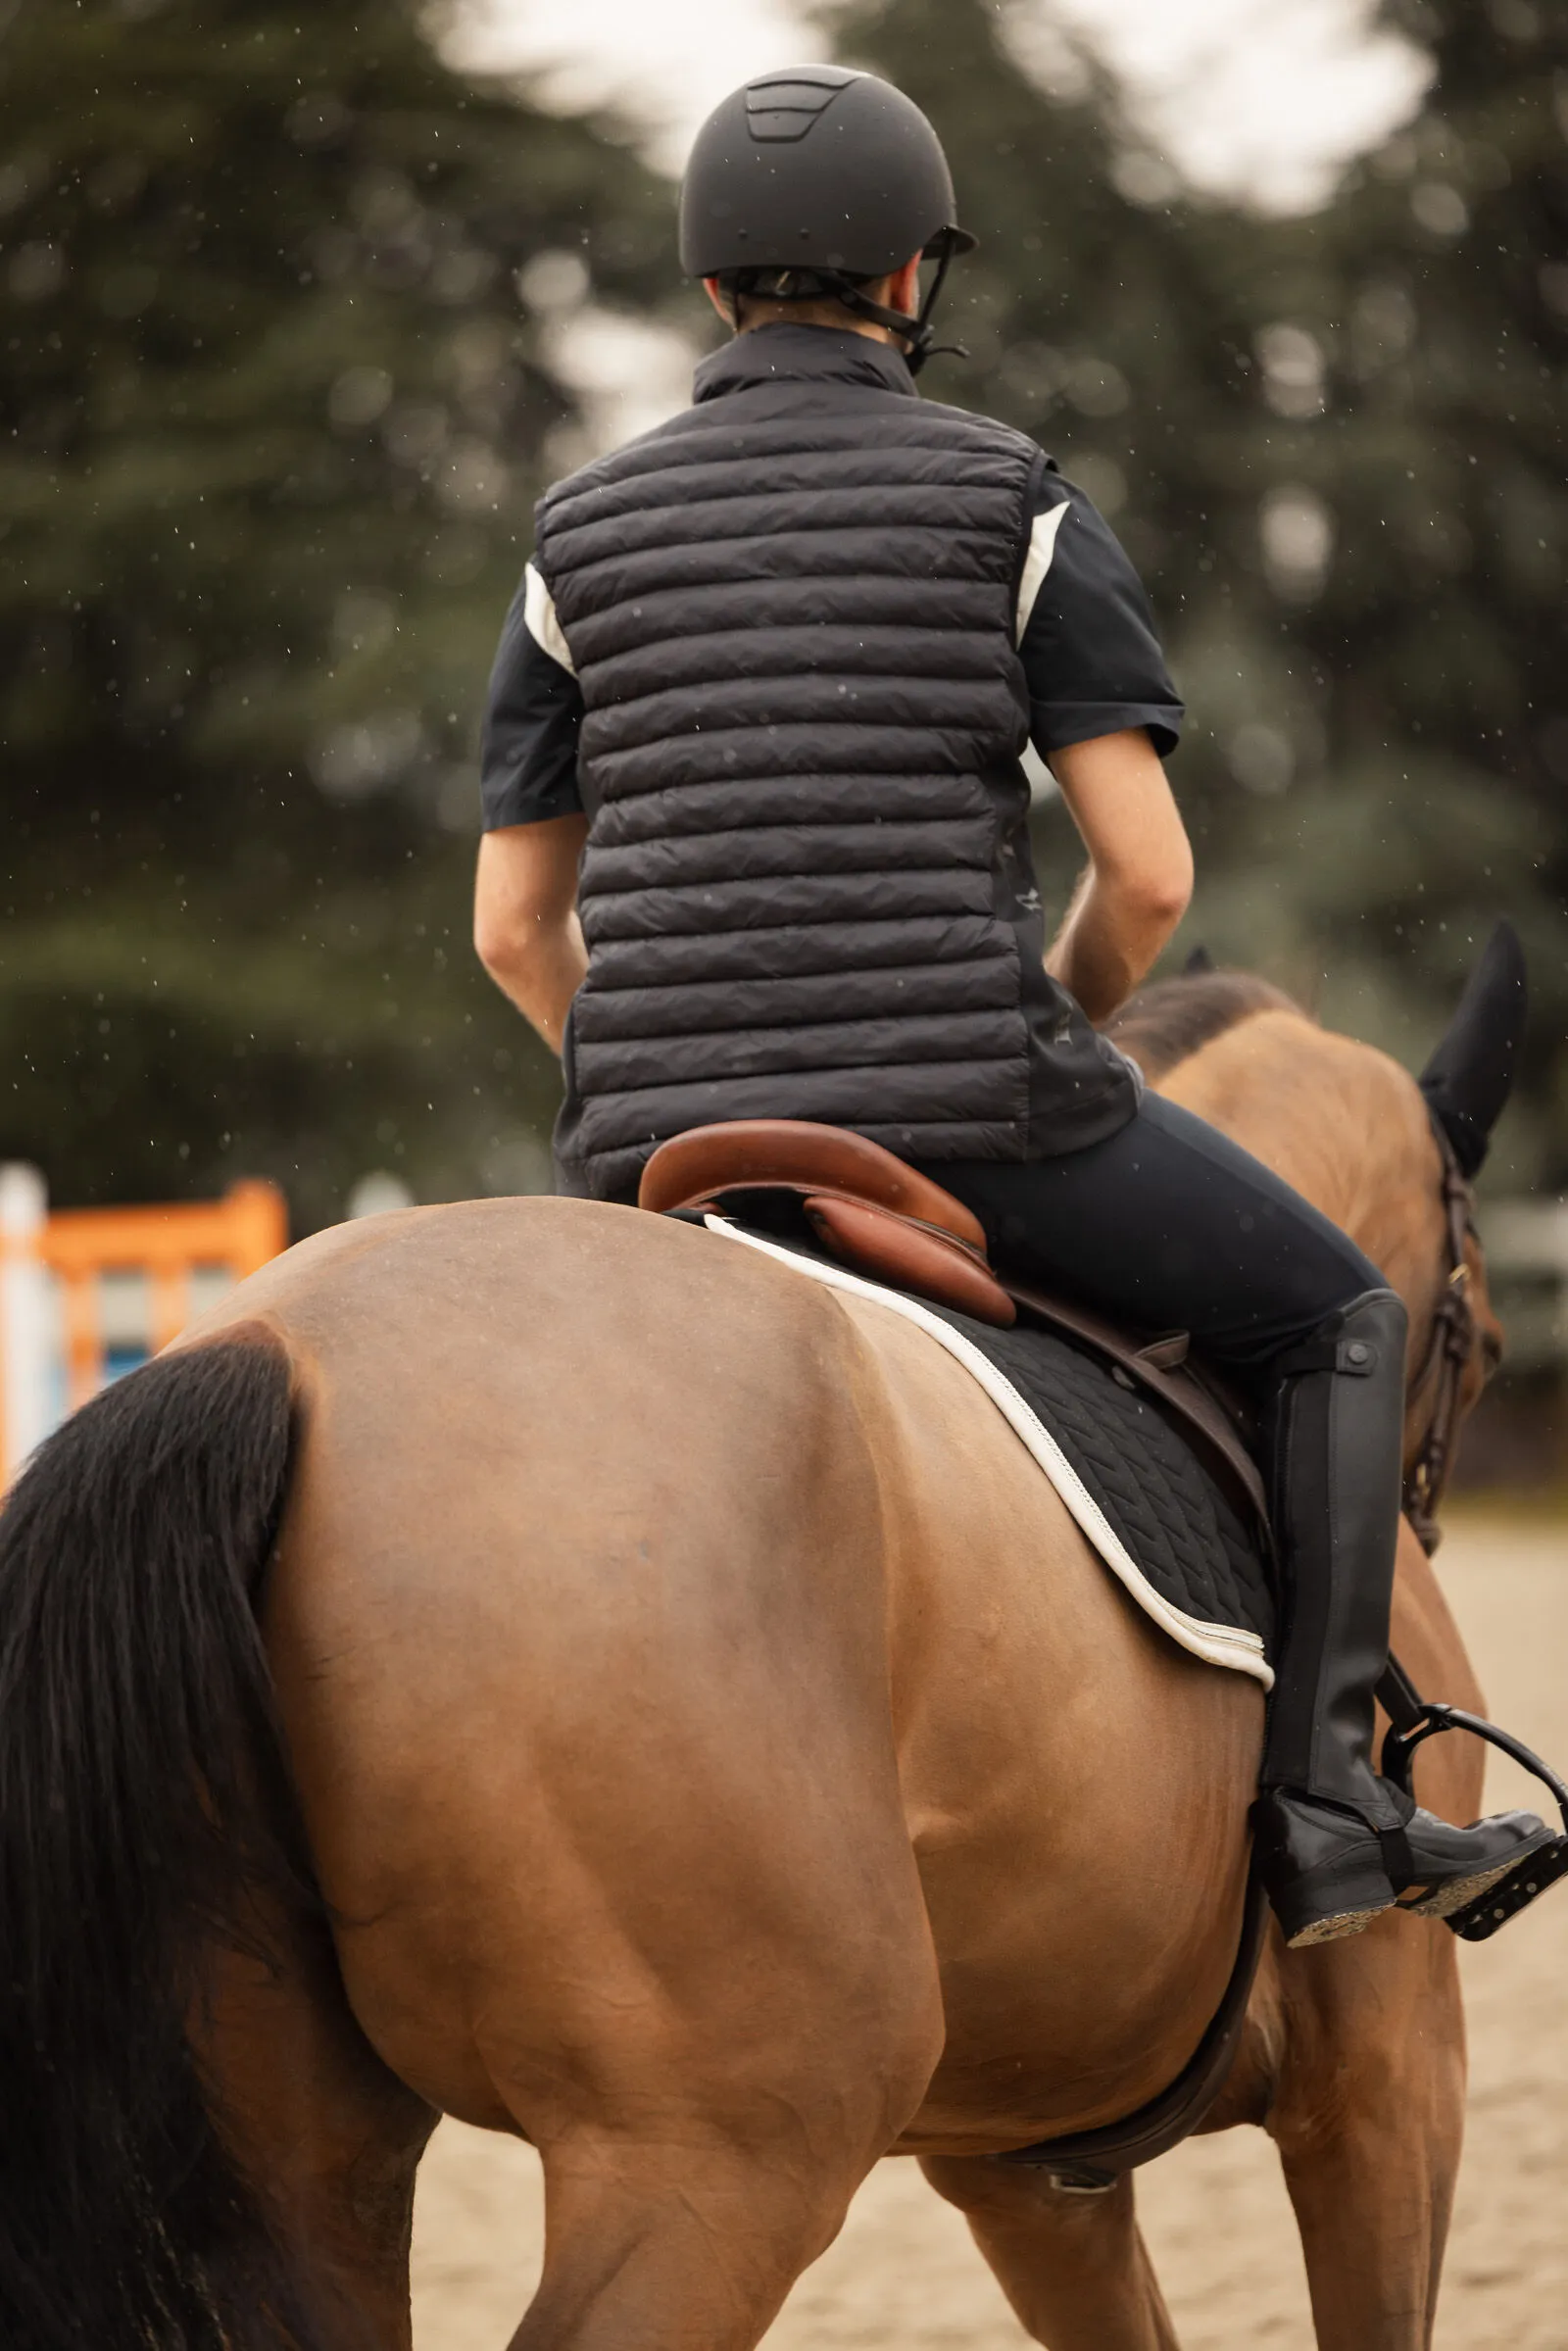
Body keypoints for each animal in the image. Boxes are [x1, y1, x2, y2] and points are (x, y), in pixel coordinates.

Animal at [0, 954, 1523, 2351]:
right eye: (1489, 1345)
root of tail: (279, 1349)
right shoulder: (1392, 2080)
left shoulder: (1023, 2158)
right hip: (729, 2152)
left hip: (299, 2155)